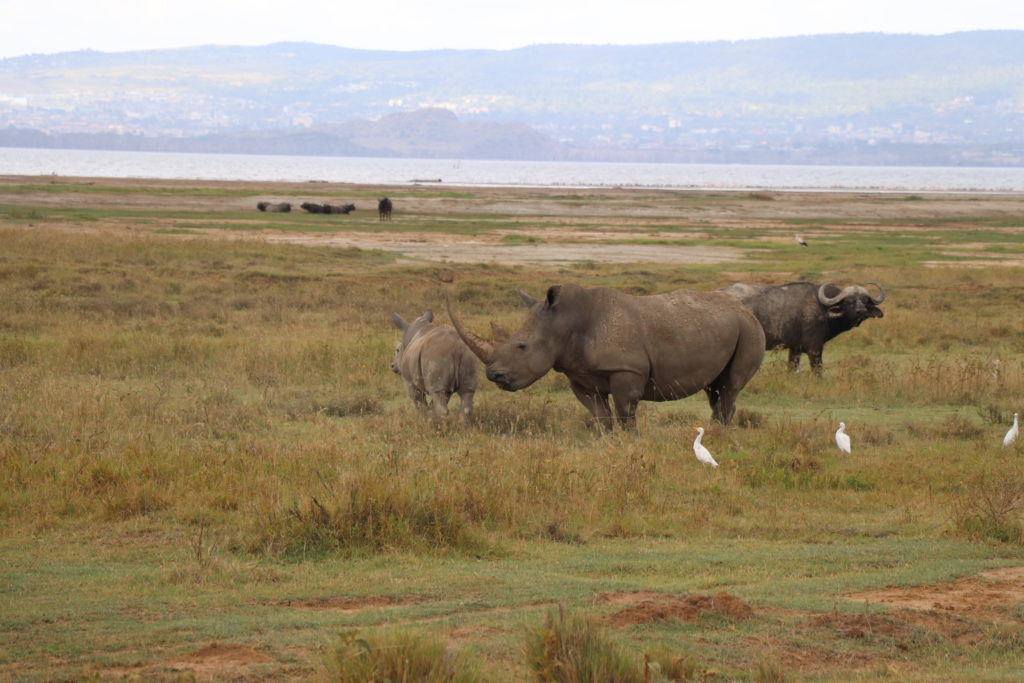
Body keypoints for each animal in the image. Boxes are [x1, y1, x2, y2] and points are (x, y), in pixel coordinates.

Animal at [446, 284, 765, 430]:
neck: (566, 323)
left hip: (749, 330)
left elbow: (625, 412)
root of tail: (745, 308)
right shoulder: (578, 374)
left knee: (730, 386)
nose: (493, 375)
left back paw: (720, 432)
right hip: (725, 328)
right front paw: (607, 441)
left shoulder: (627, 370)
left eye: (521, 346)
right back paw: (716, 430)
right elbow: (599, 414)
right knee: (716, 388)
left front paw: (630, 442)